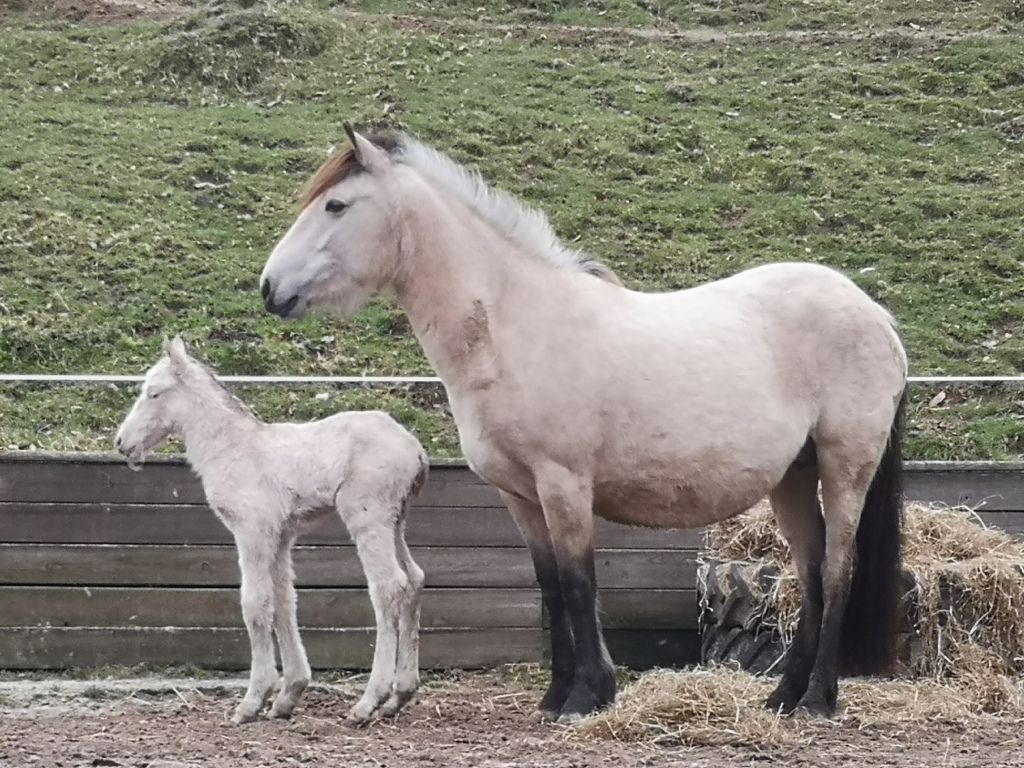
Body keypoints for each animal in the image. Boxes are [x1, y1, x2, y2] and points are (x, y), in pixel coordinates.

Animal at [114, 336, 429, 725]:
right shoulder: (281, 536)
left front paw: (253, 699)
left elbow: (254, 603)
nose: (122, 443)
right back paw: (399, 696)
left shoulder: (253, 531)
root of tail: (416, 450)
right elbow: (283, 601)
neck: (234, 450)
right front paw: (288, 695)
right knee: (414, 580)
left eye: (154, 393)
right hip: (396, 521)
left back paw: (368, 701)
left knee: (389, 586)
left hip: (368, 517)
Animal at [258, 125, 907, 723]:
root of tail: (875, 313)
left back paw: (818, 701)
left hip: (845, 466)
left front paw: (587, 695)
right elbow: (550, 588)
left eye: (336, 205)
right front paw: (554, 697)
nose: (269, 289)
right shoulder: (520, 496)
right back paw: (783, 696)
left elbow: (579, 585)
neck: (511, 326)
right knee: (812, 573)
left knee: (839, 571)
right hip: (794, 478)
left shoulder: (563, 484)